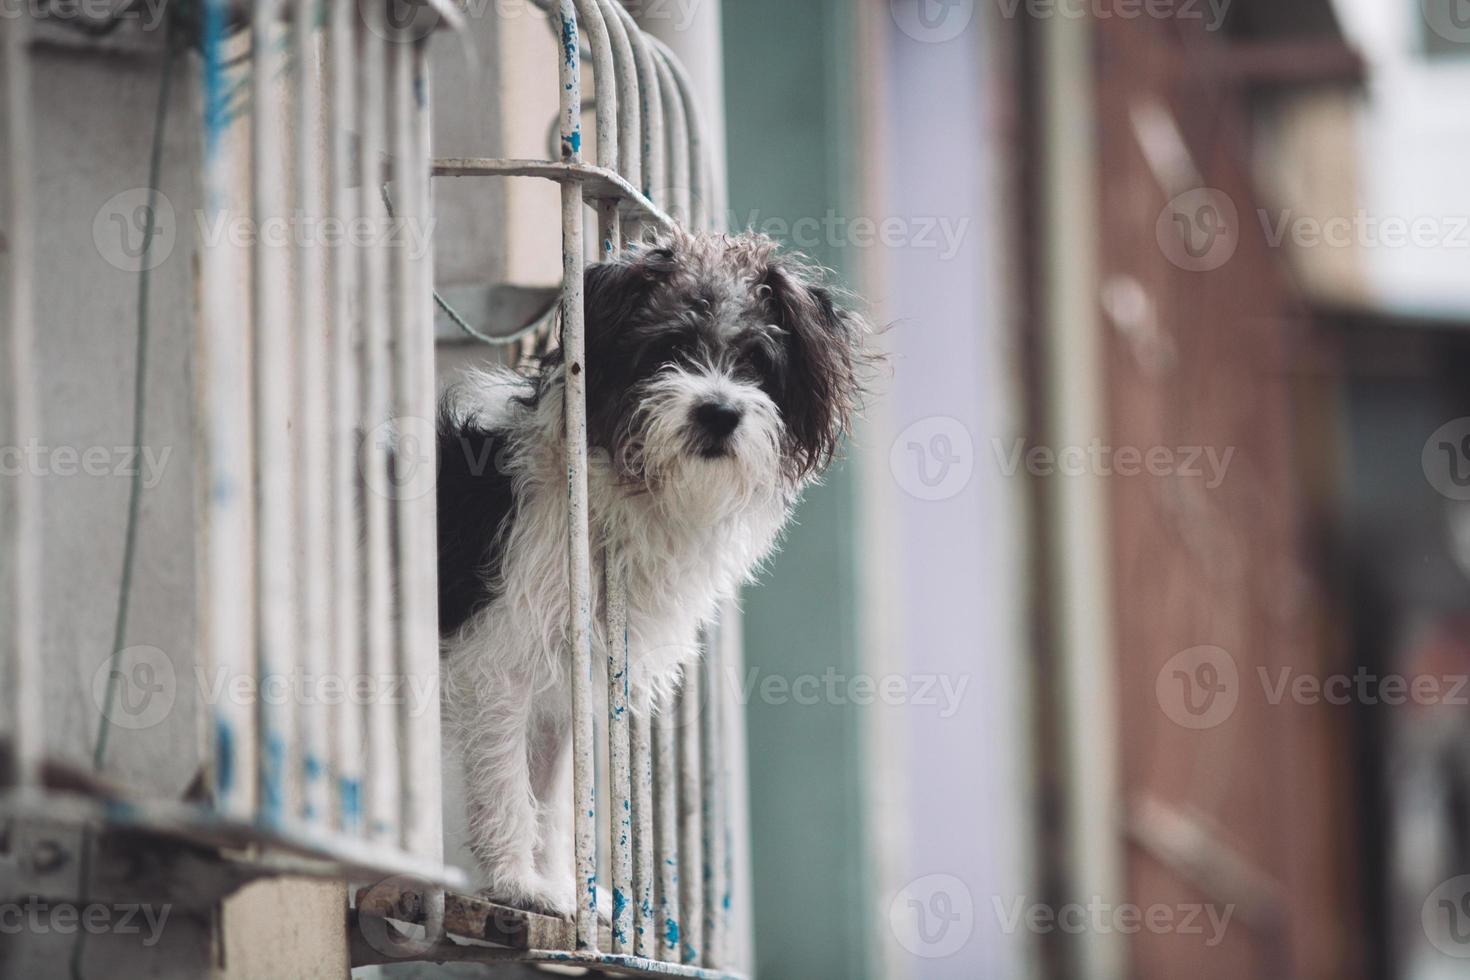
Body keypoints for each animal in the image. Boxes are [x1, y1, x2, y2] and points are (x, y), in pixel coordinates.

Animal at [429, 226, 864, 916]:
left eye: (756, 361)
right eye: (669, 348)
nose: (719, 412)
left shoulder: (561, 686)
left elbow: (553, 800)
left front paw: (563, 888)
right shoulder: (497, 666)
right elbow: (506, 788)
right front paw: (518, 886)